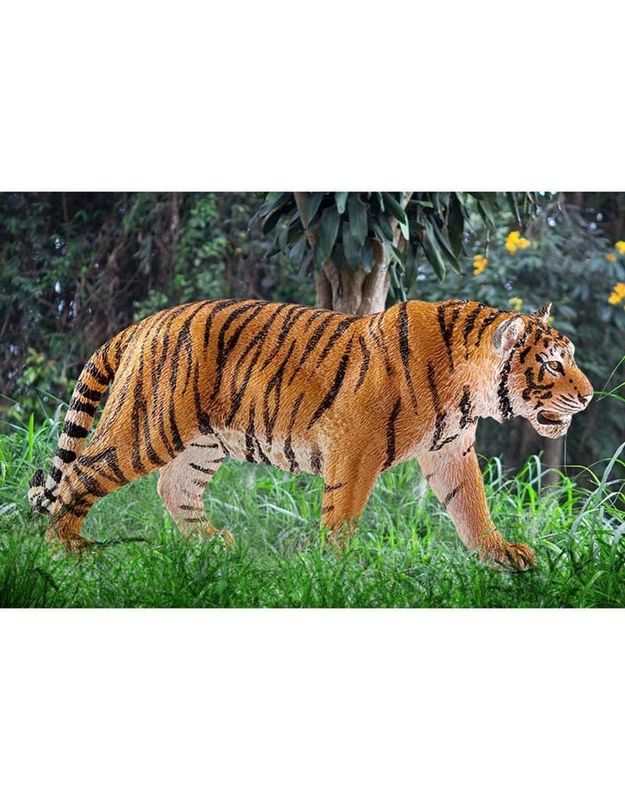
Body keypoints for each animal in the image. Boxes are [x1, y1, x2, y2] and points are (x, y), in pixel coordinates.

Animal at [28, 297, 593, 570]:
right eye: (552, 363)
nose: (588, 396)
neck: (469, 389)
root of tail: (143, 323)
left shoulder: (450, 451)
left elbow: (471, 507)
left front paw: (500, 555)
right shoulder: (355, 446)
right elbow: (342, 513)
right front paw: (334, 571)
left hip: (203, 442)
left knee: (174, 487)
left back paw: (213, 546)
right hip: (148, 428)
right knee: (80, 473)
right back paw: (67, 551)